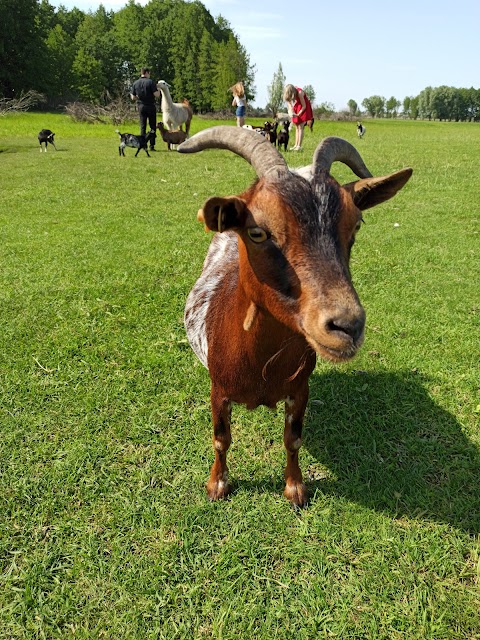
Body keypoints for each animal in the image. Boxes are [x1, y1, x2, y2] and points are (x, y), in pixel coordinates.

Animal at [178, 127, 410, 508]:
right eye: (257, 231)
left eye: (356, 225)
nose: (347, 325)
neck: (259, 366)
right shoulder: (219, 390)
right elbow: (221, 439)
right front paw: (217, 485)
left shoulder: (299, 389)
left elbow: (293, 440)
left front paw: (295, 489)